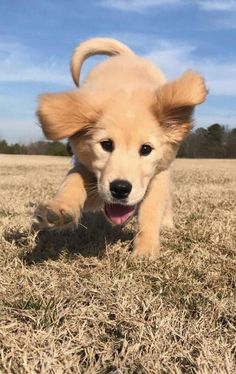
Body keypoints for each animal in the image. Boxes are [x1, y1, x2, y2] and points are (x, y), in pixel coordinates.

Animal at [34, 38, 207, 258]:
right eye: (106, 144)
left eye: (146, 149)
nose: (120, 189)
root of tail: (128, 56)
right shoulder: (86, 168)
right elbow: (74, 179)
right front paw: (60, 210)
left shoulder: (158, 175)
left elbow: (151, 210)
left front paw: (145, 250)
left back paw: (167, 223)